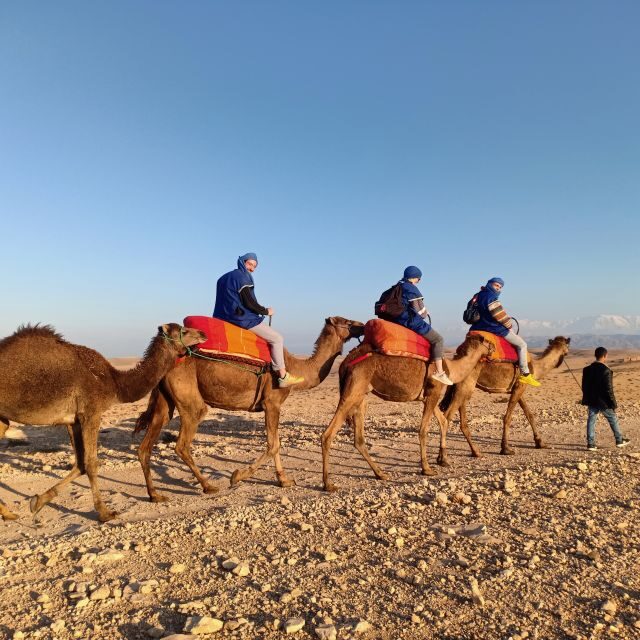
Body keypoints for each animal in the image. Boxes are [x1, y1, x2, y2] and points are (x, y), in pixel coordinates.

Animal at [0, 323, 207, 521]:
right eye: (183, 330)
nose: (203, 334)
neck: (114, 382)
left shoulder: (73, 420)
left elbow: (80, 464)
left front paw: (38, 501)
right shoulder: (91, 412)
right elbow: (91, 463)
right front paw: (105, 513)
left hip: (2, 417)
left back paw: (8, 514)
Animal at [134, 316, 365, 502]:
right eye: (347, 321)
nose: (362, 325)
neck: (296, 368)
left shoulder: (271, 406)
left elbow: (276, 444)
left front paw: (284, 480)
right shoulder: (272, 402)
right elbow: (273, 445)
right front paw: (237, 476)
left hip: (164, 401)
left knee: (147, 443)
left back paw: (154, 495)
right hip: (190, 400)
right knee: (182, 443)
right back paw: (208, 486)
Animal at [320, 333, 493, 492]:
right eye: (487, 341)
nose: (494, 348)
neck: (450, 368)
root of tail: (345, 363)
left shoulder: (428, 397)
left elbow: (443, 421)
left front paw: (443, 459)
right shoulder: (433, 392)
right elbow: (423, 430)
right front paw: (427, 468)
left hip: (361, 395)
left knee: (359, 439)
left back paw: (380, 474)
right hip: (353, 389)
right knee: (328, 434)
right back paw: (328, 484)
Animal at [439, 336, 571, 463]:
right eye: (567, 347)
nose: (566, 354)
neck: (534, 366)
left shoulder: (518, 388)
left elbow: (529, 414)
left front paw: (540, 442)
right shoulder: (519, 387)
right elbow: (508, 417)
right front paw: (506, 448)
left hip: (462, 387)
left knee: (462, 419)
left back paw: (475, 452)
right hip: (465, 385)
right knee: (447, 415)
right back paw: (443, 457)